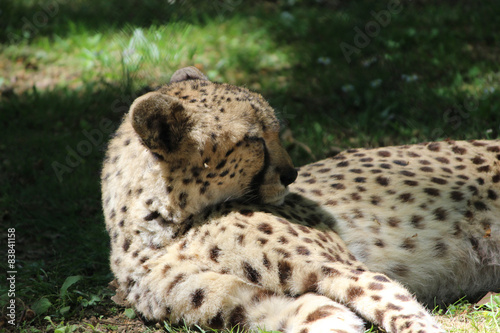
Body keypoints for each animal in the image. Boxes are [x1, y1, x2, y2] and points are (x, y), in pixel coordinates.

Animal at [100, 66, 480, 330]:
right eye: (254, 140)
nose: (291, 173)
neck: (164, 227)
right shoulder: (245, 302)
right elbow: (325, 316)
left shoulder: (346, 269)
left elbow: (398, 306)